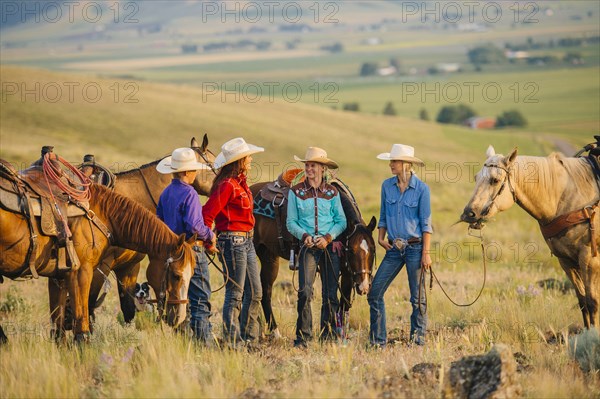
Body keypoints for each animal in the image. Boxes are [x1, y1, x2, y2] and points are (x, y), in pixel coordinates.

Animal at [1, 181, 196, 340]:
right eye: (176, 275)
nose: (180, 317)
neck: (101, 215)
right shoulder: (82, 272)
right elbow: (83, 324)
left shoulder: (59, 278)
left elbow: (58, 329)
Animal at [250, 180, 376, 340]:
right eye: (352, 251)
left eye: (373, 250)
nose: (364, 286)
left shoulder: (348, 273)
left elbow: (344, 302)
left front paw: (340, 334)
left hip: (269, 257)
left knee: (265, 290)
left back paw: (273, 332)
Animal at [462, 146, 596, 328]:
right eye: (476, 177)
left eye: (495, 180)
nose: (468, 213)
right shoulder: (566, 261)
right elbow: (583, 302)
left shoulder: (589, 260)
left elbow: (592, 302)